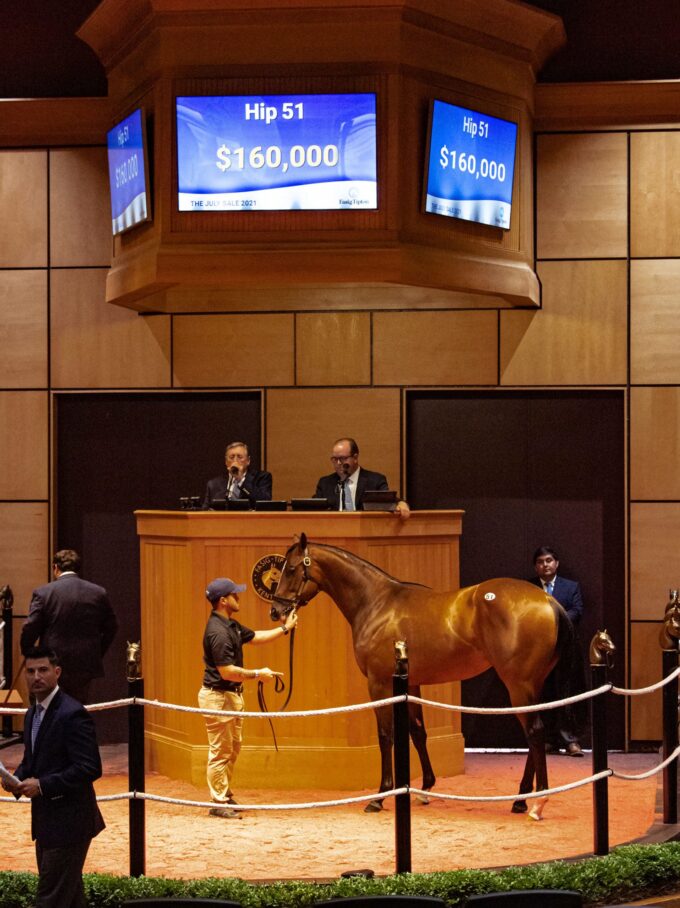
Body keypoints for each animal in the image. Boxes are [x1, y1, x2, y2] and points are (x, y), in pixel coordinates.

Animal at [270, 536, 572, 820]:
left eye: (292, 569)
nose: (276, 611)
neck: (376, 603)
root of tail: (547, 600)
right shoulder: (411, 684)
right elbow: (417, 732)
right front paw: (425, 788)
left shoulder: (379, 684)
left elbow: (386, 735)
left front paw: (380, 796)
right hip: (531, 686)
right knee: (534, 734)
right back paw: (521, 800)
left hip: (518, 685)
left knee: (534, 732)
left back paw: (538, 802)